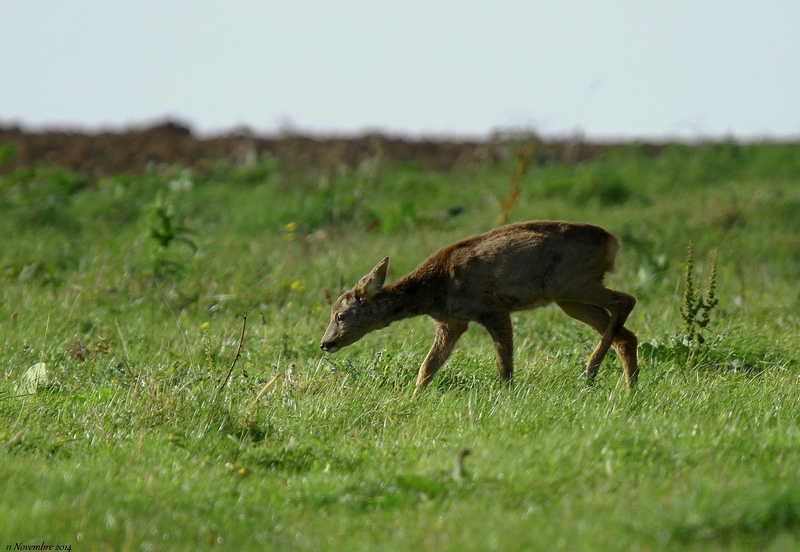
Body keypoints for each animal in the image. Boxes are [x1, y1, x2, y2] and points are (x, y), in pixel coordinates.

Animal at [318, 220, 636, 396]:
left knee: (627, 300)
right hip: (569, 298)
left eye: (340, 315)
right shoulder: (452, 323)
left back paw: (591, 369)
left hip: (571, 282)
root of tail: (612, 242)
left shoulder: (493, 308)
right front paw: (411, 401)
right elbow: (427, 368)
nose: (325, 343)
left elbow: (504, 364)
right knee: (626, 335)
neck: (436, 288)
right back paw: (629, 390)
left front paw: (507, 398)